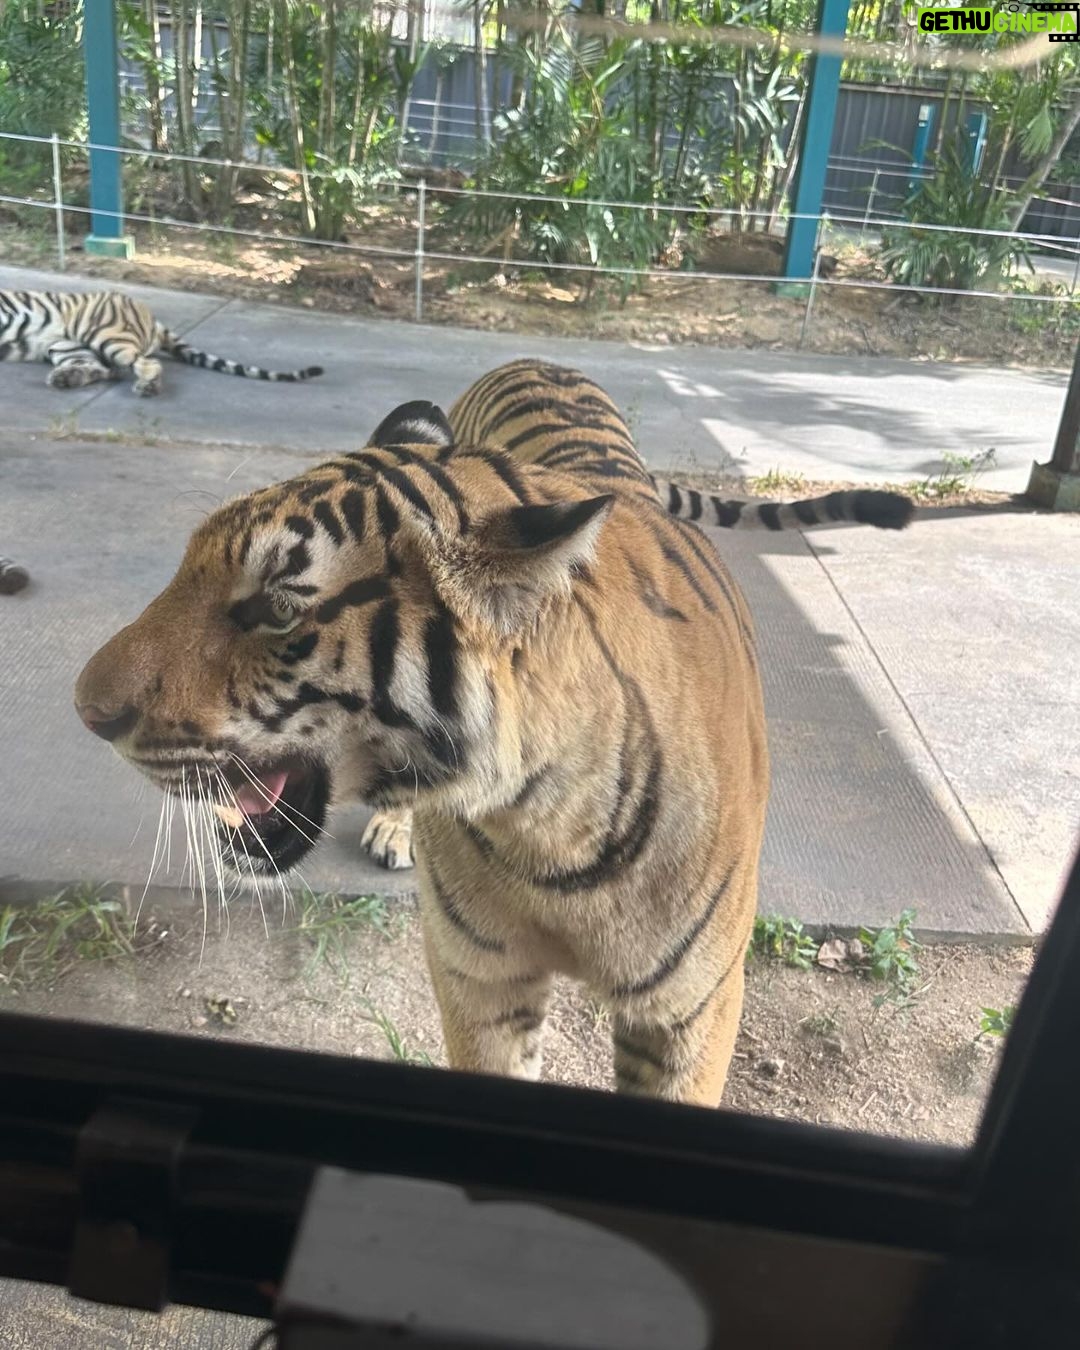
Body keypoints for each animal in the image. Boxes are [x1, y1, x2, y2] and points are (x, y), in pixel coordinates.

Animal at [0, 290, 323, 396]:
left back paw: (148, 387)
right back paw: (65, 378)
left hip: (104, 334)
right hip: (65, 345)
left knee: (144, 363)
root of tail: (151, 316)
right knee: (100, 368)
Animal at [74, 358, 912, 1105]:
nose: (86, 711)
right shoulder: (478, 981)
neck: (547, 828)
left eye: (277, 610)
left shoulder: (691, 1012)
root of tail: (539, 359)